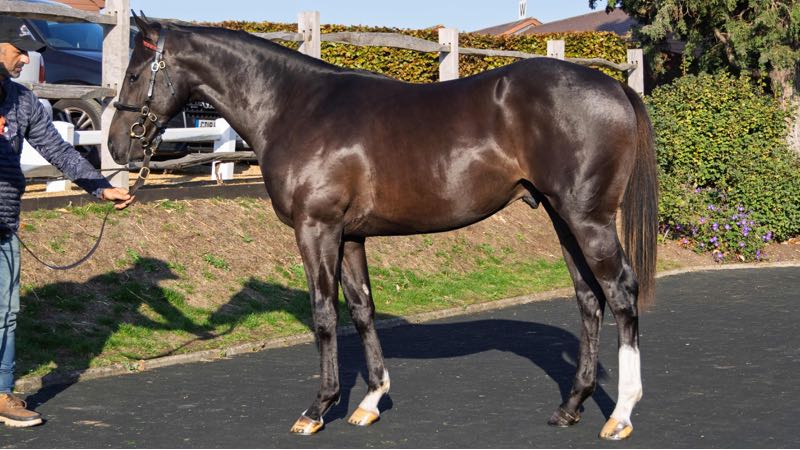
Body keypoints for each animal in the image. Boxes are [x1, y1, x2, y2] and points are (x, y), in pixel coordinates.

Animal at [108, 15, 657, 440]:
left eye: (134, 74)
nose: (115, 146)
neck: (296, 107)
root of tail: (614, 85)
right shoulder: (350, 236)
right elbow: (362, 310)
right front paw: (370, 401)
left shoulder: (316, 229)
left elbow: (324, 314)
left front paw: (318, 408)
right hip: (562, 218)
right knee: (589, 298)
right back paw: (571, 407)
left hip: (587, 220)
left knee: (620, 293)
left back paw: (622, 414)